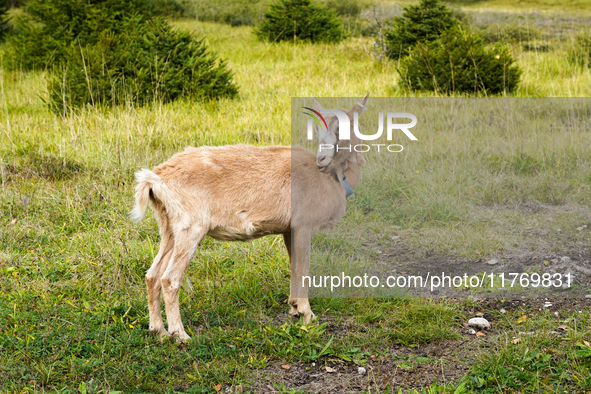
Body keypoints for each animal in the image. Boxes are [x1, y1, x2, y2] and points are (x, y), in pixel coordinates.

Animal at [132, 94, 368, 340]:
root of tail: (154, 179)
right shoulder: (303, 225)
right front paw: (307, 315)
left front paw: (294, 308)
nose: (322, 159)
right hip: (191, 227)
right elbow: (303, 268)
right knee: (169, 279)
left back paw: (158, 331)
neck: (332, 178)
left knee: (152, 275)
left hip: (169, 227)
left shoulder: (289, 229)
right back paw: (180, 335)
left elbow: (294, 265)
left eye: (345, 127)